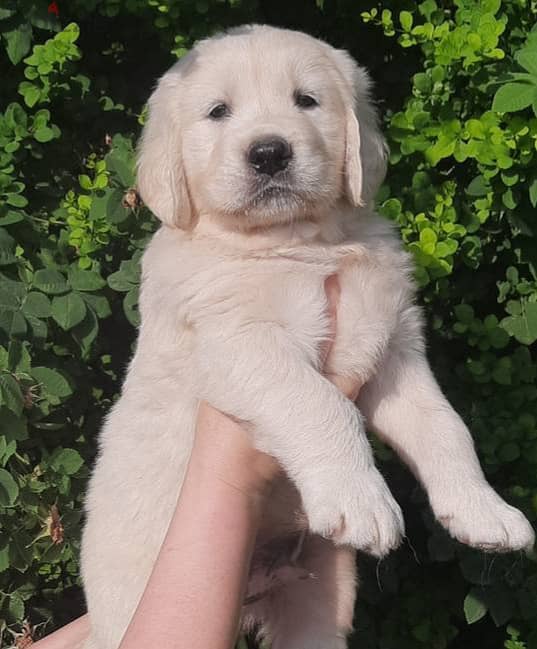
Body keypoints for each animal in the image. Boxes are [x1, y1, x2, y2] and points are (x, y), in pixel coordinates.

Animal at [81, 24, 532, 648]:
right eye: (218, 112)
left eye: (306, 101)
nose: (269, 152)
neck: (298, 243)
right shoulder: (238, 341)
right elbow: (319, 403)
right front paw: (362, 499)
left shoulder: (394, 351)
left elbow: (445, 428)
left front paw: (485, 511)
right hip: (131, 600)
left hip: (318, 599)